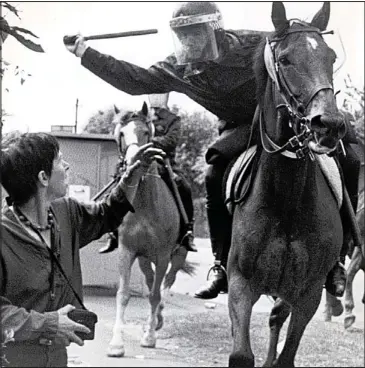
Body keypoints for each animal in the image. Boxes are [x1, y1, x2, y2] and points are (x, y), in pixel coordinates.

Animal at [106, 103, 195, 356]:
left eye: (146, 132)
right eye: (121, 133)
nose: (134, 161)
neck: (145, 204)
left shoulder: (164, 255)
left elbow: (155, 295)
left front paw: (149, 337)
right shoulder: (127, 251)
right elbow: (123, 294)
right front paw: (116, 344)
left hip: (177, 255)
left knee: (165, 283)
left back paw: (156, 321)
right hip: (144, 259)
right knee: (150, 280)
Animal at [229, 2, 346, 366]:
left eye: (331, 57)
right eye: (285, 59)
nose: (329, 125)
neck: (287, 201)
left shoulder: (307, 294)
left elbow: (285, 357)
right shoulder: (241, 284)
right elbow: (241, 354)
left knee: (277, 318)